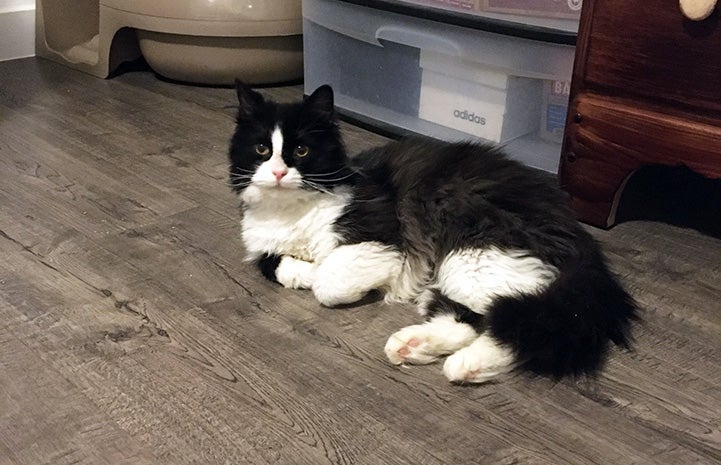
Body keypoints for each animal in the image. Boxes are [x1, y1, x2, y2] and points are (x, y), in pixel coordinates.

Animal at [229, 81, 636, 382]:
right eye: (262, 149)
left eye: (300, 150)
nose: (278, 173)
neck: (290, 213)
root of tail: (585, 248)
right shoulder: (264, 247)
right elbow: (277, 265)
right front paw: (307, 269)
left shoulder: (380, 237)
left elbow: (329, 283)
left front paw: (335, 276)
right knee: (477, 319)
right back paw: (416, 346)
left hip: (473, 254)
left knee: (522, 325)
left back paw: (461, 364)